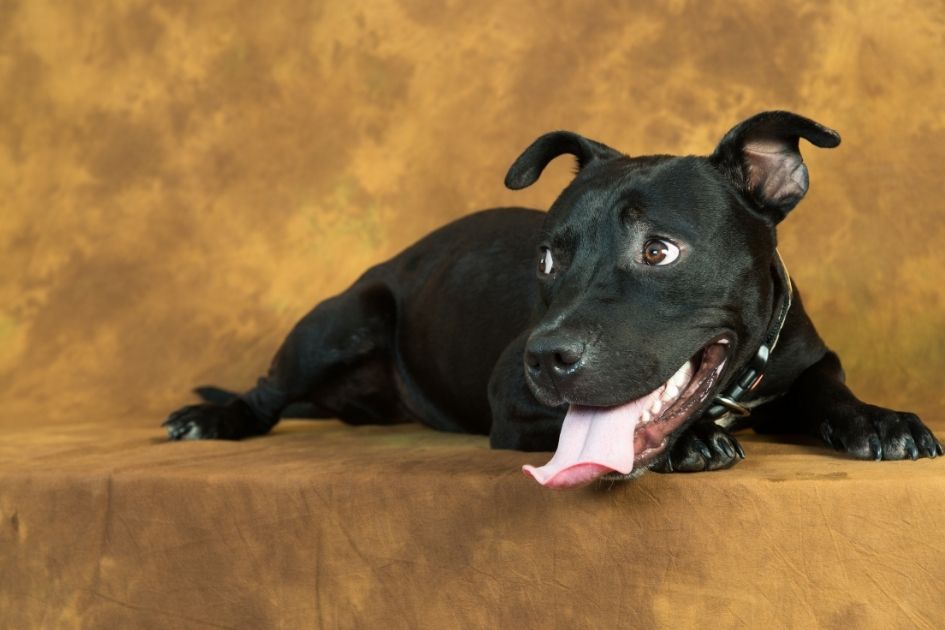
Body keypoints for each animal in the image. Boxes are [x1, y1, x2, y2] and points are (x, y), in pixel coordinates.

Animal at [162, 112, 936, 488]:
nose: (546, 357)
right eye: (546, 257)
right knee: (266, 392)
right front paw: (691, 443)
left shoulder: (810, 362)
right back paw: (213, 416)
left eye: (660, 250)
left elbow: (831, 392)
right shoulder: (511, 396)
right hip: (343, 320)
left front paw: (879, 418)